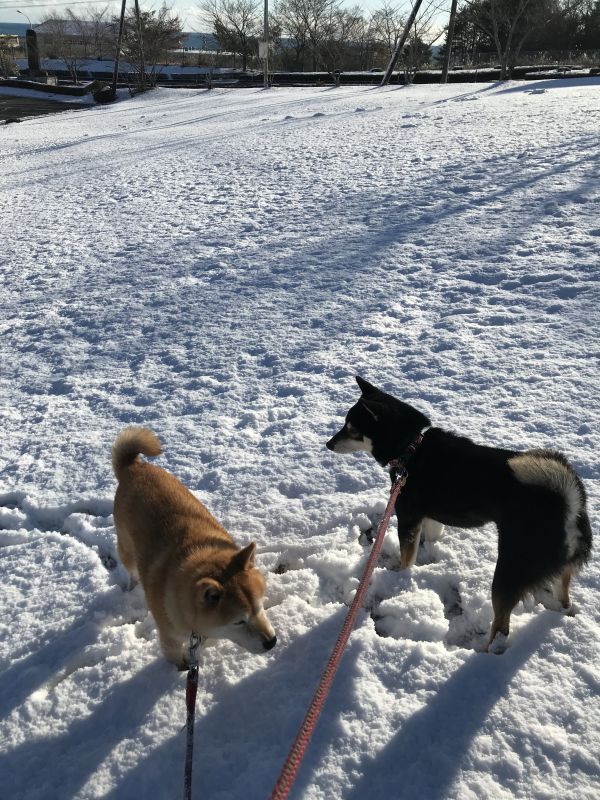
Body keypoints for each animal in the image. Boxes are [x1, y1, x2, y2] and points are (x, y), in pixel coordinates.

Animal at [326, 376, 592, 648]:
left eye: (352, 429)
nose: (328, 444)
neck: (412, 447)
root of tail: (568, 505)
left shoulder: (408, 518)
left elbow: (406, 559)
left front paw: (401, 578)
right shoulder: (429, 517)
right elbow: (431, 537)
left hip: (507, 572)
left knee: (501, 628)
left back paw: (484, 650)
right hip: (559, 572)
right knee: (563, 599)